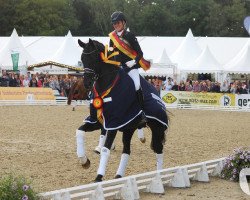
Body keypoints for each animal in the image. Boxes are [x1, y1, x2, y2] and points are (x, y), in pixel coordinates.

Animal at [77, 38, 169, 182]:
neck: (108, 85)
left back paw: (158, 176)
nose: (87, 83)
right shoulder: (97, 121)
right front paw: (84, 161)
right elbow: (79, 131)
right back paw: (119, 175)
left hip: (157, 127)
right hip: (128, 128)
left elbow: (105, 150)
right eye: (82, 58)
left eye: (93, 58)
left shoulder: (113, 123)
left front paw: (99, 177)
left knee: (158, 150)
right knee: (126, 151)